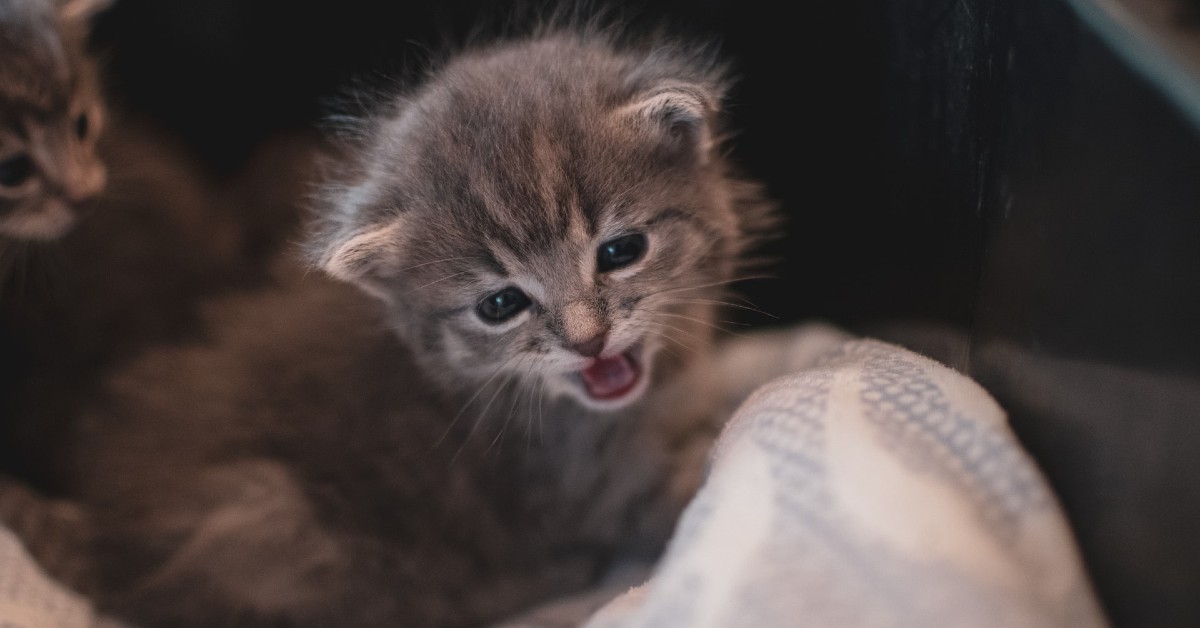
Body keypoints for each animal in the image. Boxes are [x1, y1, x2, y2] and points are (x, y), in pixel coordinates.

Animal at [49, 29, 777, 628]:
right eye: (500, 305)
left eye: (621, 251)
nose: (587, 339)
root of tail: (98, 524)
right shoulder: (585, 490)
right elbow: (687, 492)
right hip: (268, 519)